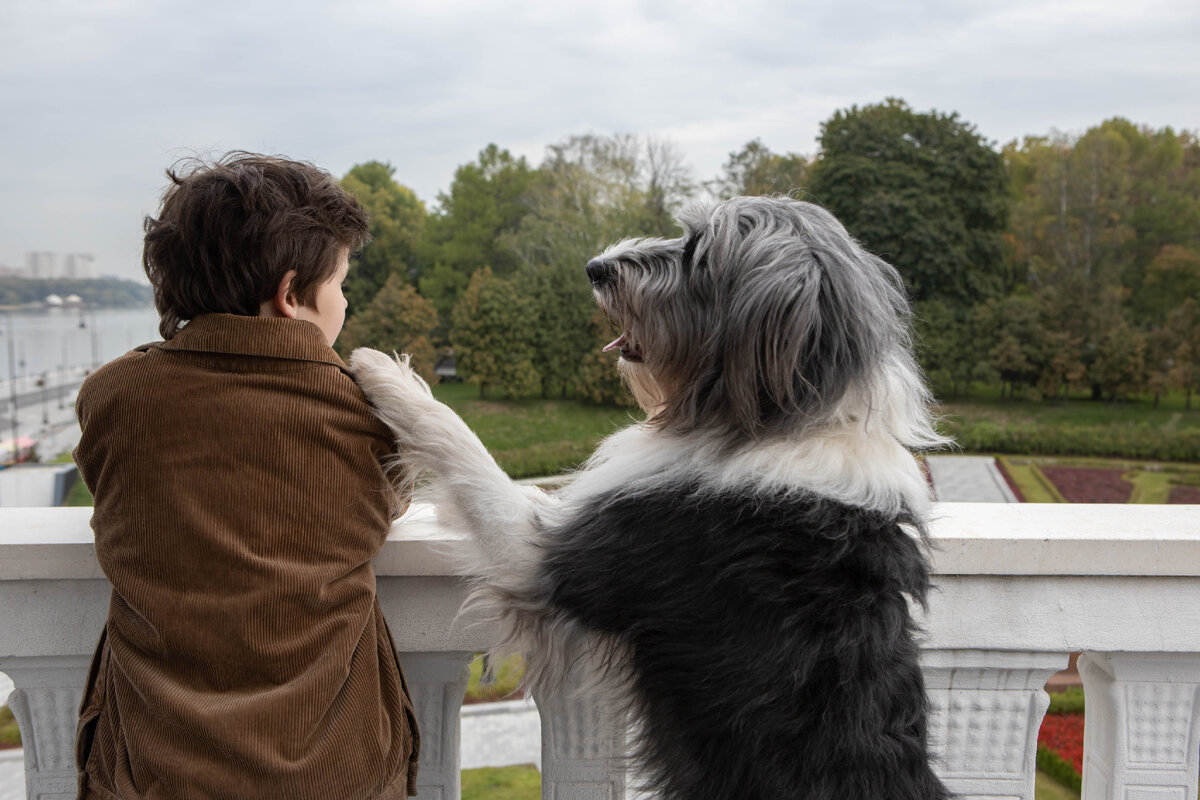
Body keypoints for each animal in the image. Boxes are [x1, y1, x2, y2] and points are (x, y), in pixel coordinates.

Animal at [350, 195, 950, 800]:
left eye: (698, 253)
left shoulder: (555, 556)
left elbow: (468, 452)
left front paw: (382, 372)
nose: (596, 267)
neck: (791, 422)